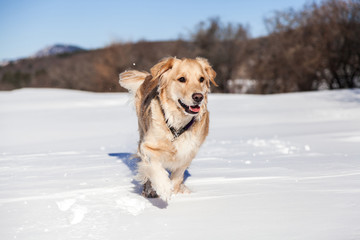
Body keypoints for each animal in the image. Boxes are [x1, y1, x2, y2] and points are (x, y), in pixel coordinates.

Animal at [119, 57, 218, 201]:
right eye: (182, 79)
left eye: (201, 79)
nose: (198, 97)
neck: (177, 124)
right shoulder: (147, 146)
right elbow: (154, 166)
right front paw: (164, 187)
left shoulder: (188, 153)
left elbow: (177, 175)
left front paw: (176, 191)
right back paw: (149, 190)